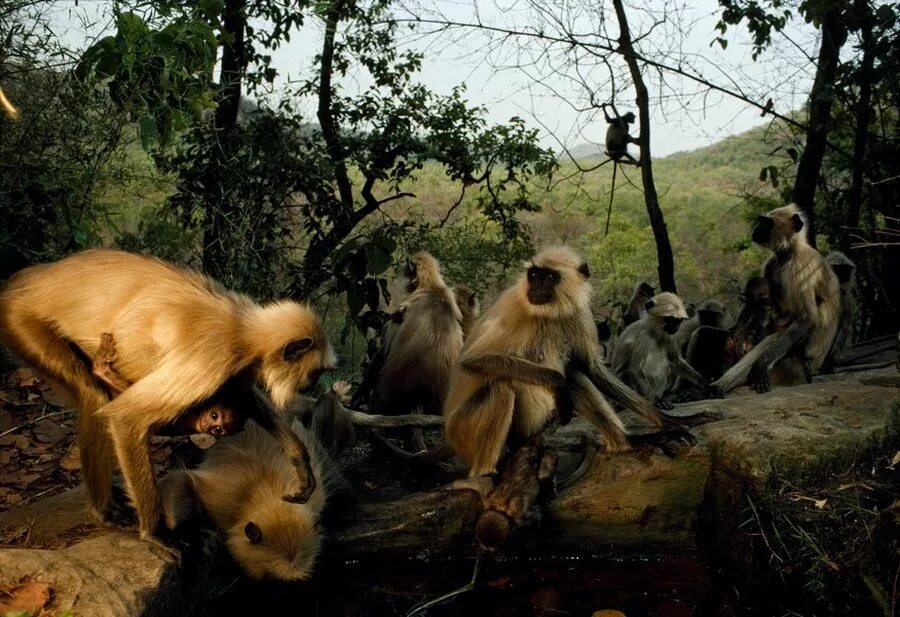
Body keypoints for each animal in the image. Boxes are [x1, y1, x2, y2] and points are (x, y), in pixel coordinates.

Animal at [0, 248, 336, 540]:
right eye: (315, 372)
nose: (311, 385)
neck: (242, 326)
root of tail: (27, 278)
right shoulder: (212, 358)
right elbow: (127, 417)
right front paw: (156, 534)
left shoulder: (234, 367)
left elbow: (242, 396)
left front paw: (298, 458)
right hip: (20, 320)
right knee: (93, 395)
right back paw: (104, 511)